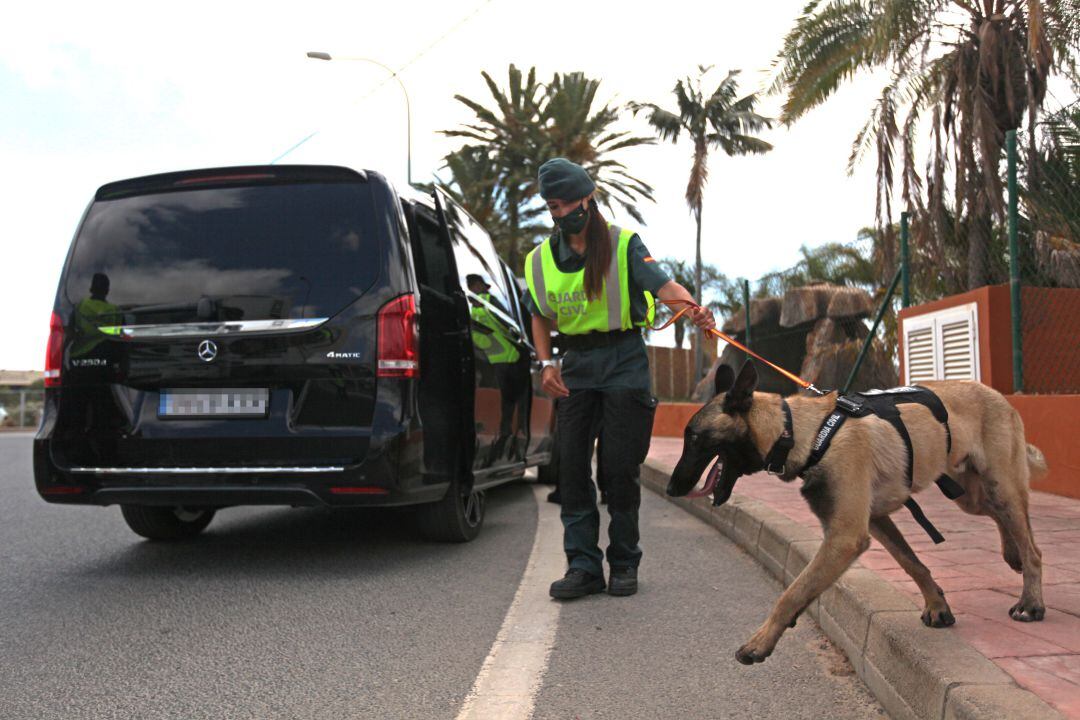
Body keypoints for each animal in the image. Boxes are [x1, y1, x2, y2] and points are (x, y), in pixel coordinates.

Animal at [665, 360, 1045, 664]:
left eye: (695, 438)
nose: (670, 489)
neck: (803, 433)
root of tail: (994, 392)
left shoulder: (844, 537)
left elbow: (793, 592)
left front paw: (760, 642)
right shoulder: (875, 521)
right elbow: (912, 563)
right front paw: (937, 605)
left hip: (999, 486)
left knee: (1033, 547)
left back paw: (1030, 601)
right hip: (971, 496)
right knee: (1003, 520)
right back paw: (1011, 554)